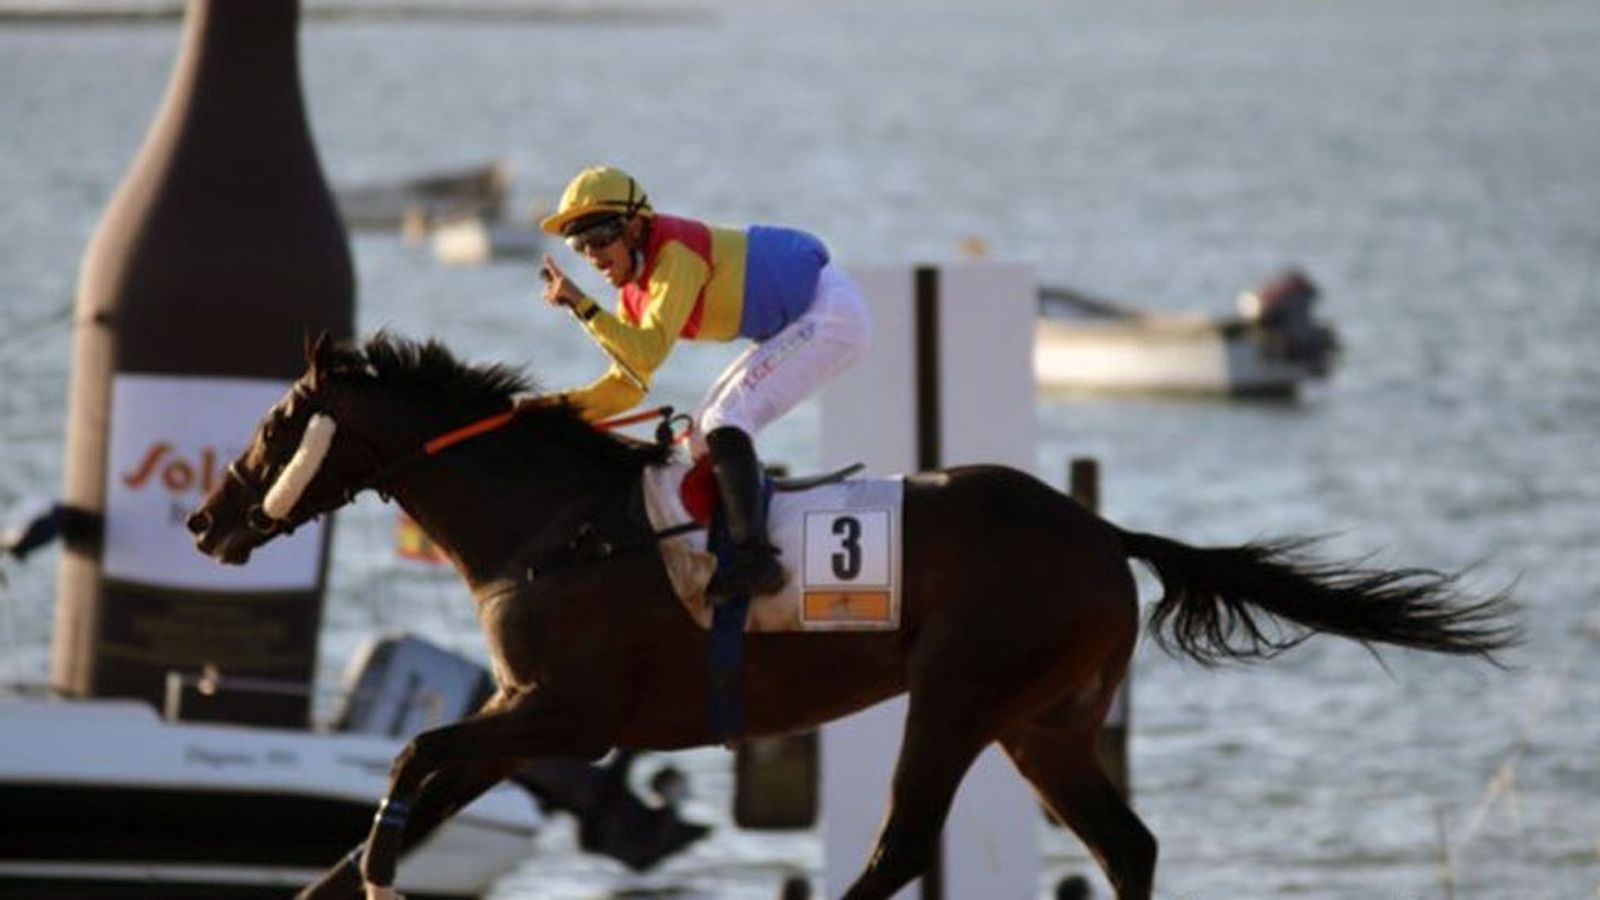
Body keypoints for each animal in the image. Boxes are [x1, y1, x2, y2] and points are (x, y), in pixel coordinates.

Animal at [186, 332, 1517, 900]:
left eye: (272, 422)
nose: (205, 522)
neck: (552, 525)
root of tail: (1101, 533)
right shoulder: (524, 716)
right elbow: (399, 801)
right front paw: (359, 875)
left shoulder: (561, 714)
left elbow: (412, 752)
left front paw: (380, 870)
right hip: (1045, 722)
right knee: (1124, 846)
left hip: (963, 695)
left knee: (897, 851)